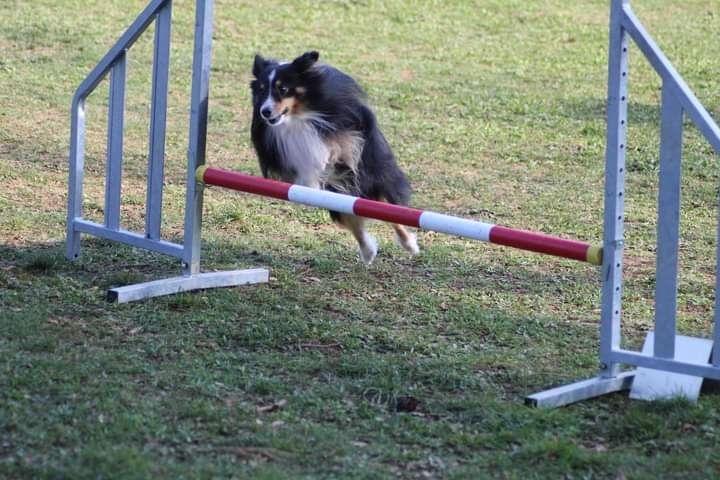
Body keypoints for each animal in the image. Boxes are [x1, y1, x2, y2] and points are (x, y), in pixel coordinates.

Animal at [250, 50, 420, 264]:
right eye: (262, 90)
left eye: (283, 89)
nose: (265, 112)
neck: (298, 116)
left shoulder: (345, 128)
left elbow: (337, 146)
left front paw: (327, 157)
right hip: (341, 196)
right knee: (352, 219)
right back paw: (368, 251)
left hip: (375, 179)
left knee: (390, 211)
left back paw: (409, 244)